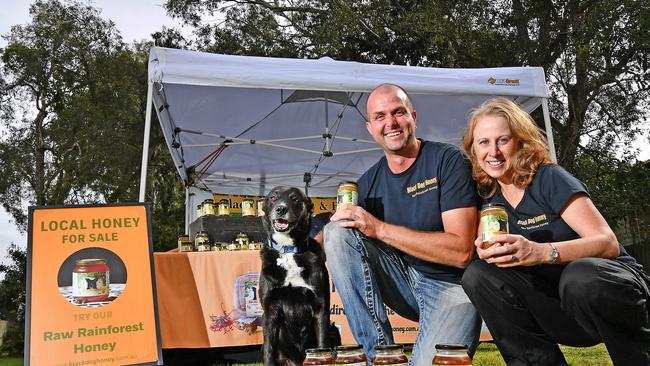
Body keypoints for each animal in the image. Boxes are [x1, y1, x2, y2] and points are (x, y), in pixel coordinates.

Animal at [258, 187, 340, 364]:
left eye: (294, 198)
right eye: (273, 197)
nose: (281, 209)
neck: (288, 251)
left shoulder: (320, 306)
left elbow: (322, 344)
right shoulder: (270, 310)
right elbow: (269, 350)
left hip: (333, 329)